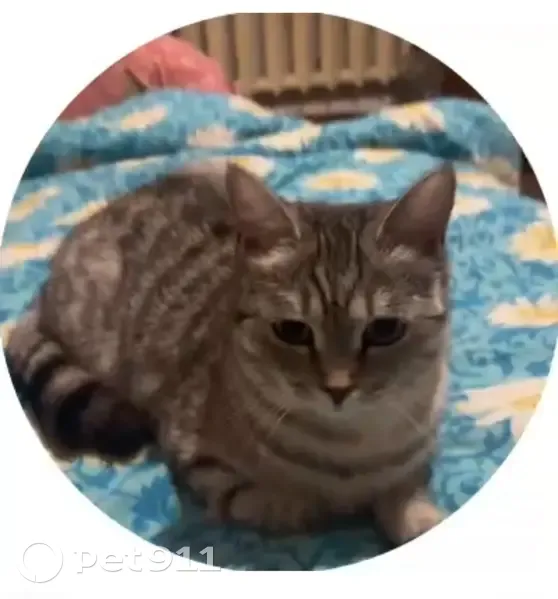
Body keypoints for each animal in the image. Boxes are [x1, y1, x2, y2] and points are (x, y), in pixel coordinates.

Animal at [5, 158, 456, 545]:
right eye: (293, 331)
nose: (338, 388)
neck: (350, 449)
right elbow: (278, 504)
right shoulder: (197, 455)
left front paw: (418, 518)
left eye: (384, 331)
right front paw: (309, 505)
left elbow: (409, 494)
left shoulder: (417, 459)